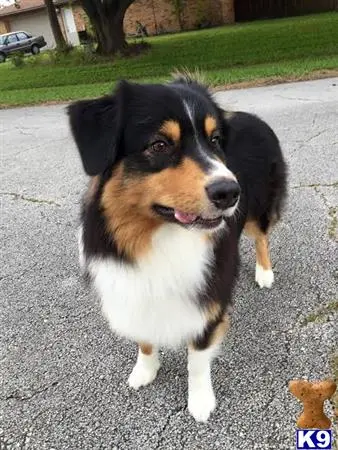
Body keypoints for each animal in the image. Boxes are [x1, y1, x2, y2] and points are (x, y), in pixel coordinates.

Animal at [68, 73, 288, 422]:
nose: (230, 192)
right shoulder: (136, 289)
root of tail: (253, 117)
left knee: (261, 236)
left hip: (260, 208)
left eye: (215, 140)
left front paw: (200, 401)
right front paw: (145, 370)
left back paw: (264, 272)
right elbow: (145, 338)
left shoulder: (209, 300)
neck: (162, 235)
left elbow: (197, 359)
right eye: (159, 145)